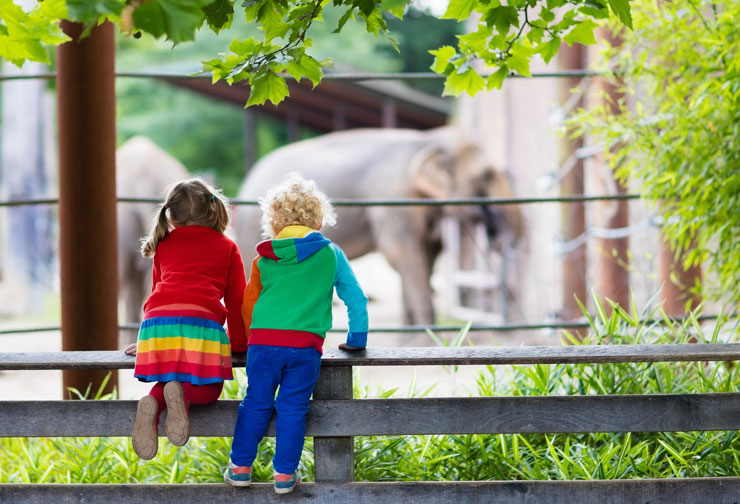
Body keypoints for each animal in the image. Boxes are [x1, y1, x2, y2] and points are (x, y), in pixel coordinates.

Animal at [234, 125, 524, 322]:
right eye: (486, 175)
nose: (498, 238)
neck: (427, 141)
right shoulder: (395, 198)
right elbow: (401, 254)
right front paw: (426, 334)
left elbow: (424, 256)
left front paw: (413, 335)